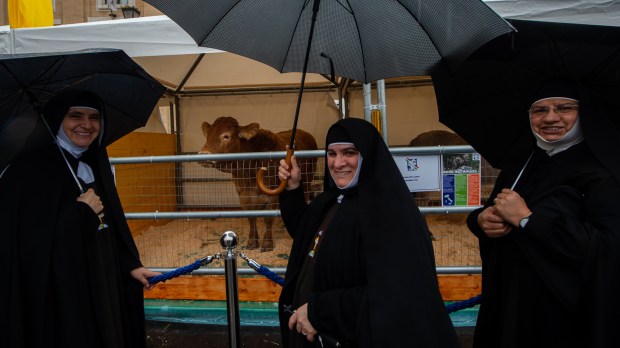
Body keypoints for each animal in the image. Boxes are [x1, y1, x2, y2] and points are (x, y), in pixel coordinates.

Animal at [199, 116, 318, 250]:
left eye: (226, 136)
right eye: (208, 135)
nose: (203, 154)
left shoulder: (272, 196)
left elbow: (268, 219)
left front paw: (267, 243)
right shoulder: (244, 196)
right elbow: (251, 218)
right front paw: (252, 241)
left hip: (307, 180)